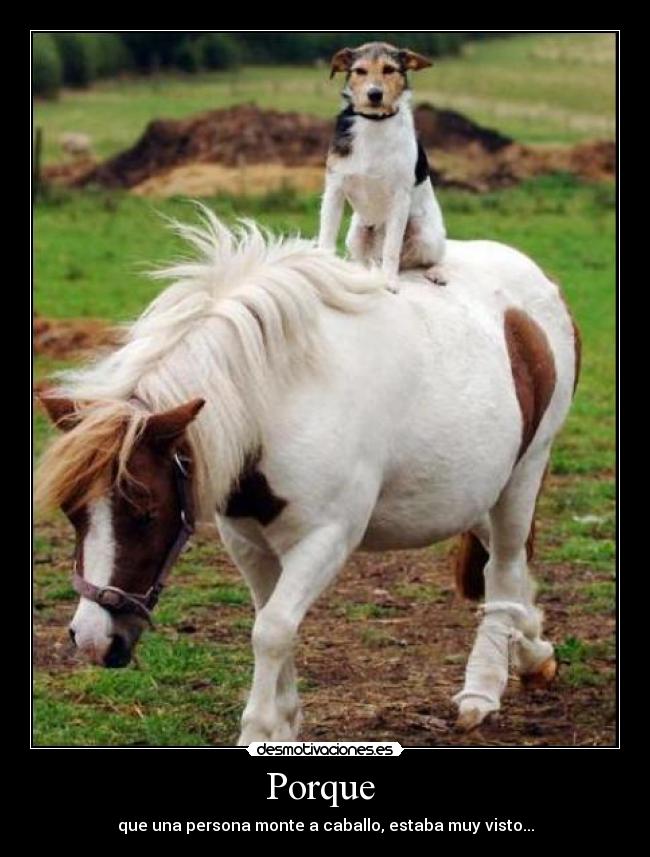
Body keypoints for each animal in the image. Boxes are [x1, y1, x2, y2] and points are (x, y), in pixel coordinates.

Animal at [35, 208, 580, 744]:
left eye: (146, 513)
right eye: (72, 514)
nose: (91, 641)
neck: (279, 400)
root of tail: (537, 282)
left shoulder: (326, 539)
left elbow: (272, 629)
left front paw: (259, 729)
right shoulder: (248, 541)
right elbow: (270, 622)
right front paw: (283, 722)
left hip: (523, 475)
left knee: (504, 566)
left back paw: (483, 690)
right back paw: (533, 652)